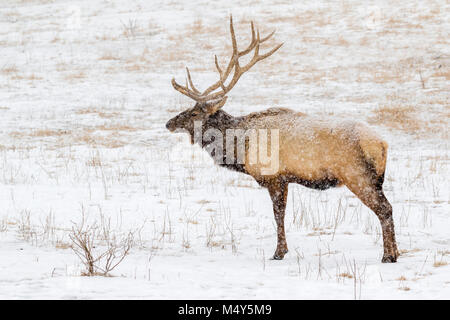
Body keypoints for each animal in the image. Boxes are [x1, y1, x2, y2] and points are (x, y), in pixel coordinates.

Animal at [167, 15, 400, 262]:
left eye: (194, 113)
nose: (169, 123)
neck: (240, 149)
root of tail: (381, 144)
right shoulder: (286, 179)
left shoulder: (273, 177)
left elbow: (278, 214)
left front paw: (278, 252)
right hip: (375, 178)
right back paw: (396, 252)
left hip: (356, 175)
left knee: (384, 209)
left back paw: (388, 255)